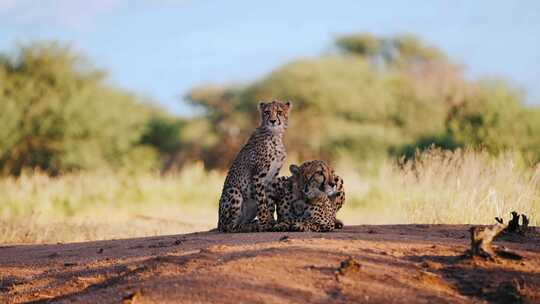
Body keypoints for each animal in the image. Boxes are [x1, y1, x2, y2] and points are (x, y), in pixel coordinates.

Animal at [216, 100, 294, 233]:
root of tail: (218, 224)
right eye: (266, 112)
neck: (275, 135)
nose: (273, 121)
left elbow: (269, 202)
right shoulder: (258, 175)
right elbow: (262, 202)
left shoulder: (271, 178)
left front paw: (271, 221)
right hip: (233, 191)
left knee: (240, 223)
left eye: (279, 112)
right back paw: (250, 227)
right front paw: (264, 223)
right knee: (229, 227)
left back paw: (250, 224)